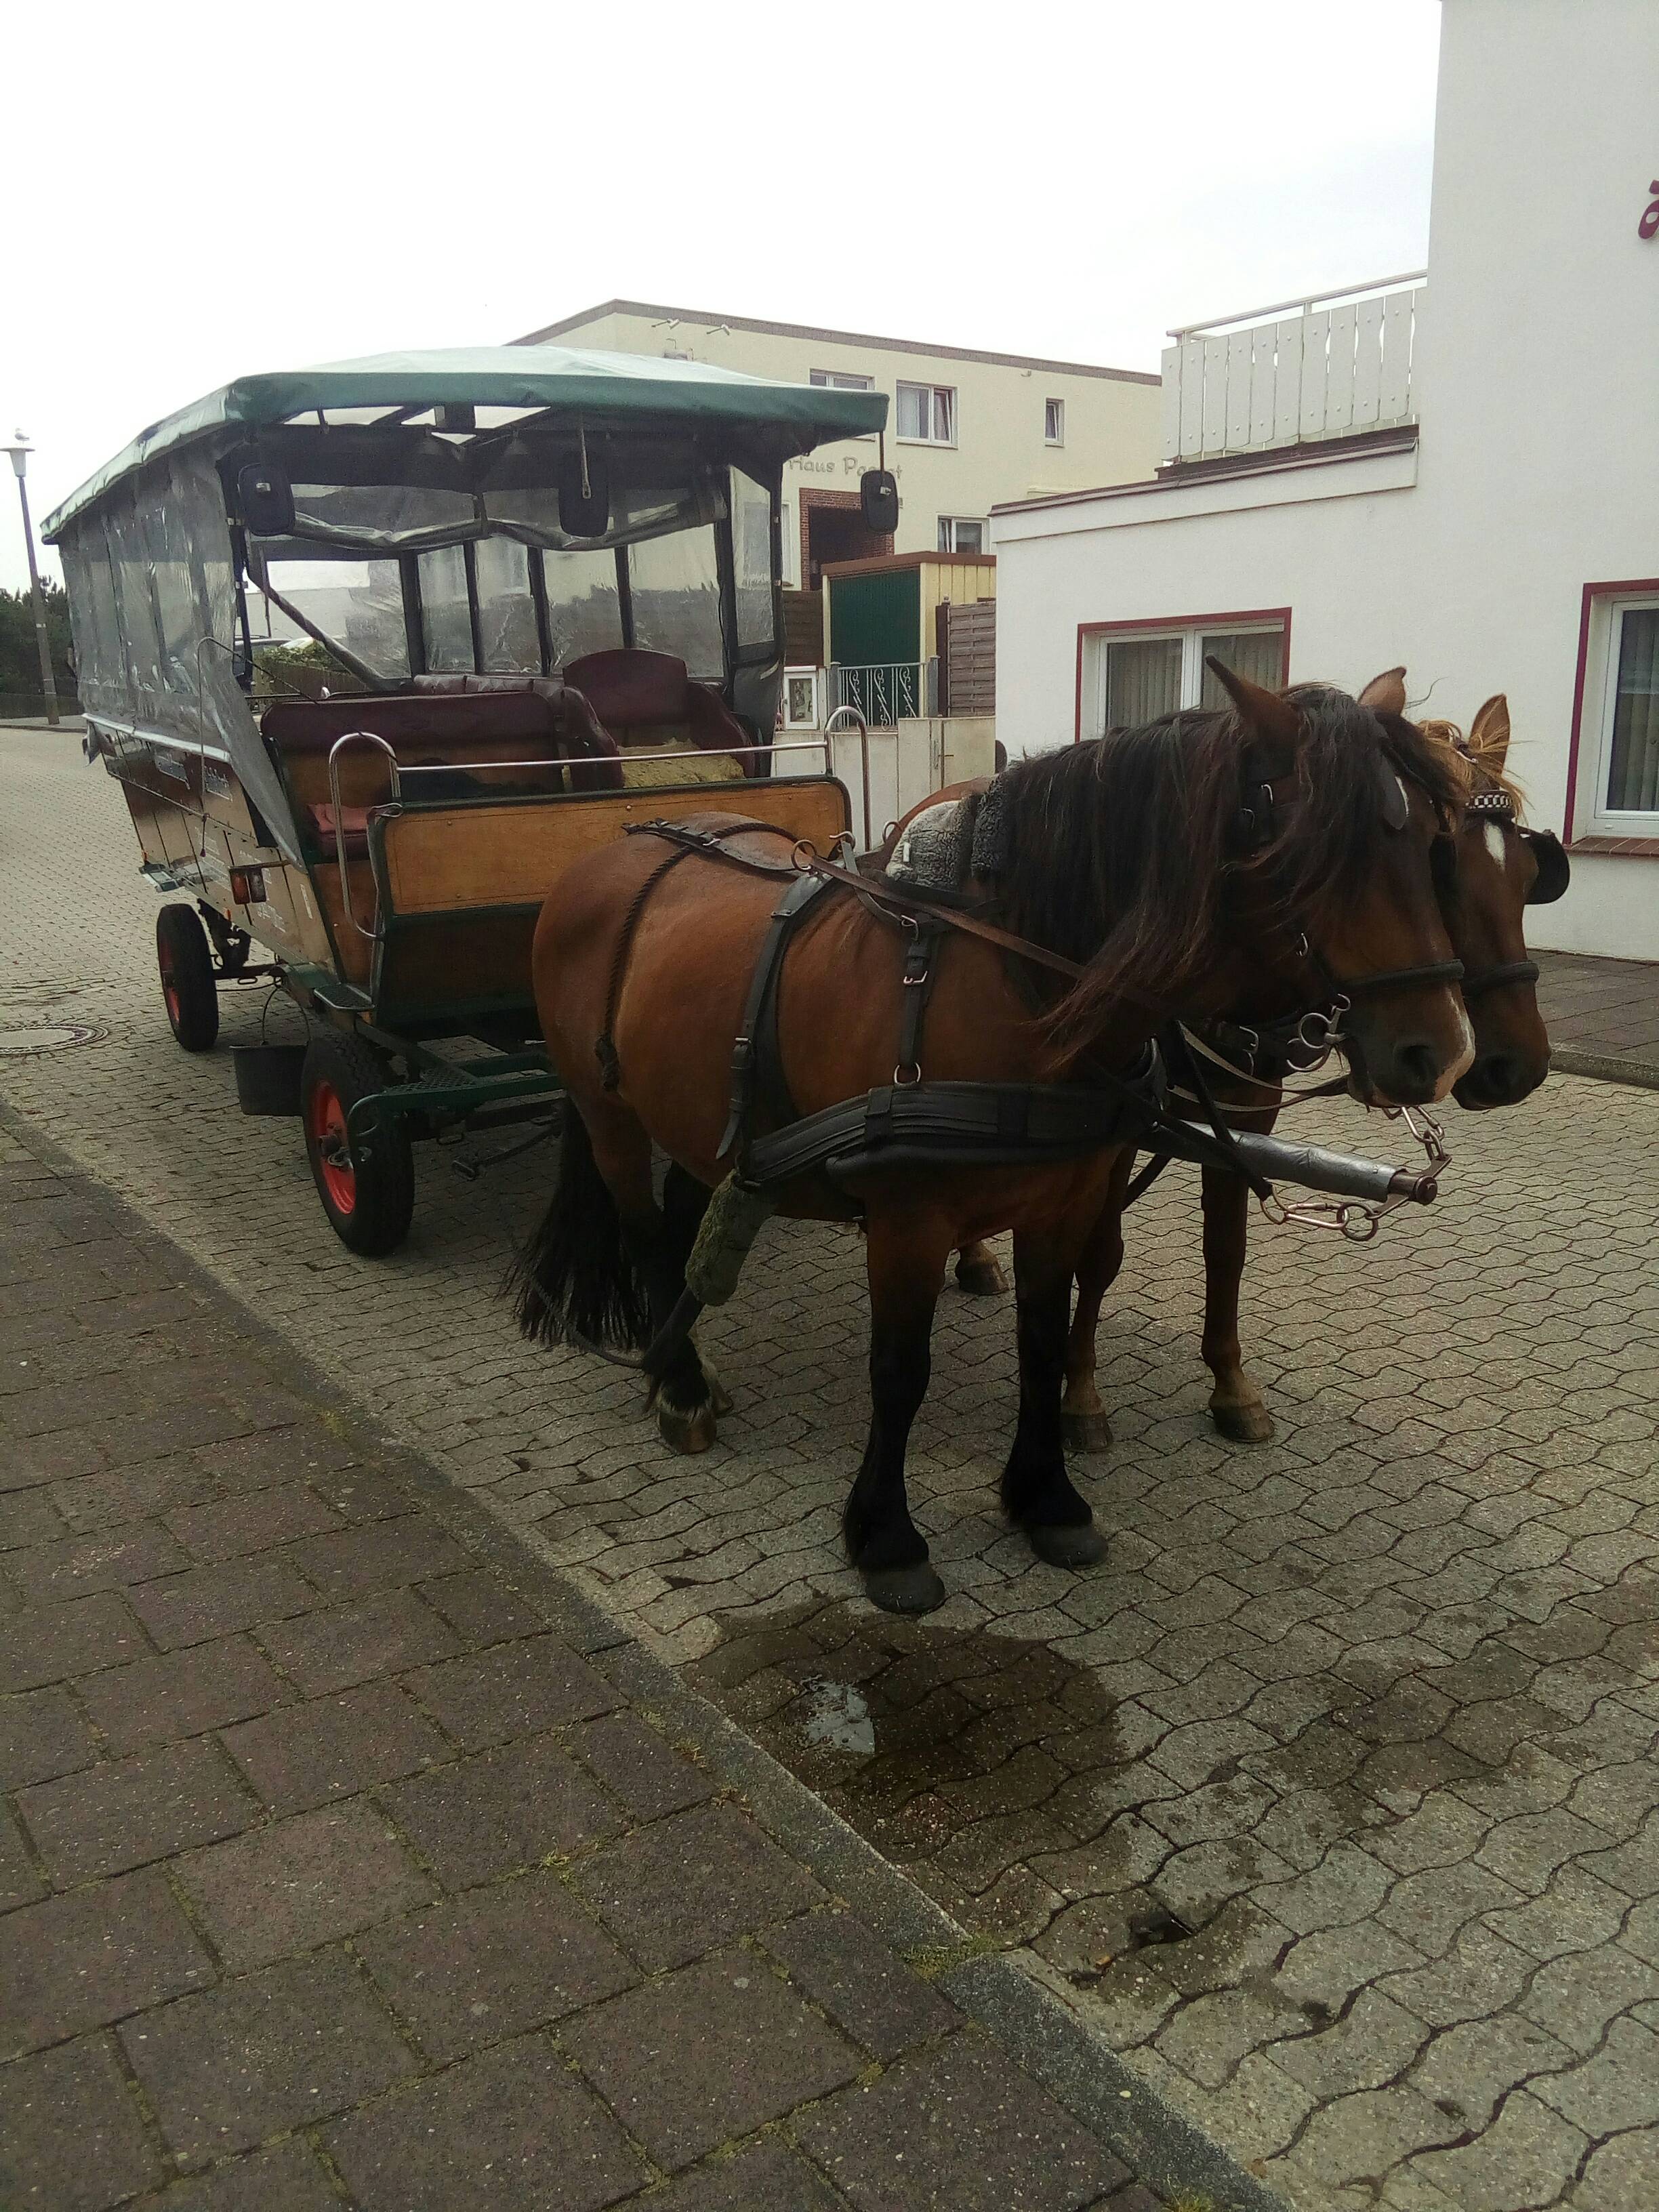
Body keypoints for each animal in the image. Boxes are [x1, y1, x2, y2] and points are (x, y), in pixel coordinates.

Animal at [517, 663, 1469, 1619]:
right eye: (1321, 853)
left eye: (1434, 838)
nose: (1440, 1052)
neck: (1015, 980)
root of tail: (606, 852)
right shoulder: (907, 1223)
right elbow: (901, 1370)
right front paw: (886, 1537)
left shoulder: (1060, 1202)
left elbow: (1042, 1344)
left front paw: (1046, 1497)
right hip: (610, 1116)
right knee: (644, 1231)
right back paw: (677, 1389)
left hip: (701, 1112)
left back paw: (684, 1360)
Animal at [1057, 685, 1574, 1451]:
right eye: (1442, 865)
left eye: (1532, 876)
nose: (1517, 1066)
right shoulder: (1118, 1127)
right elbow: (1098, 1251)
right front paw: (1082, 1395)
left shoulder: (1242, 1120)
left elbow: (1227, 1250)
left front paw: (1232, 1386)